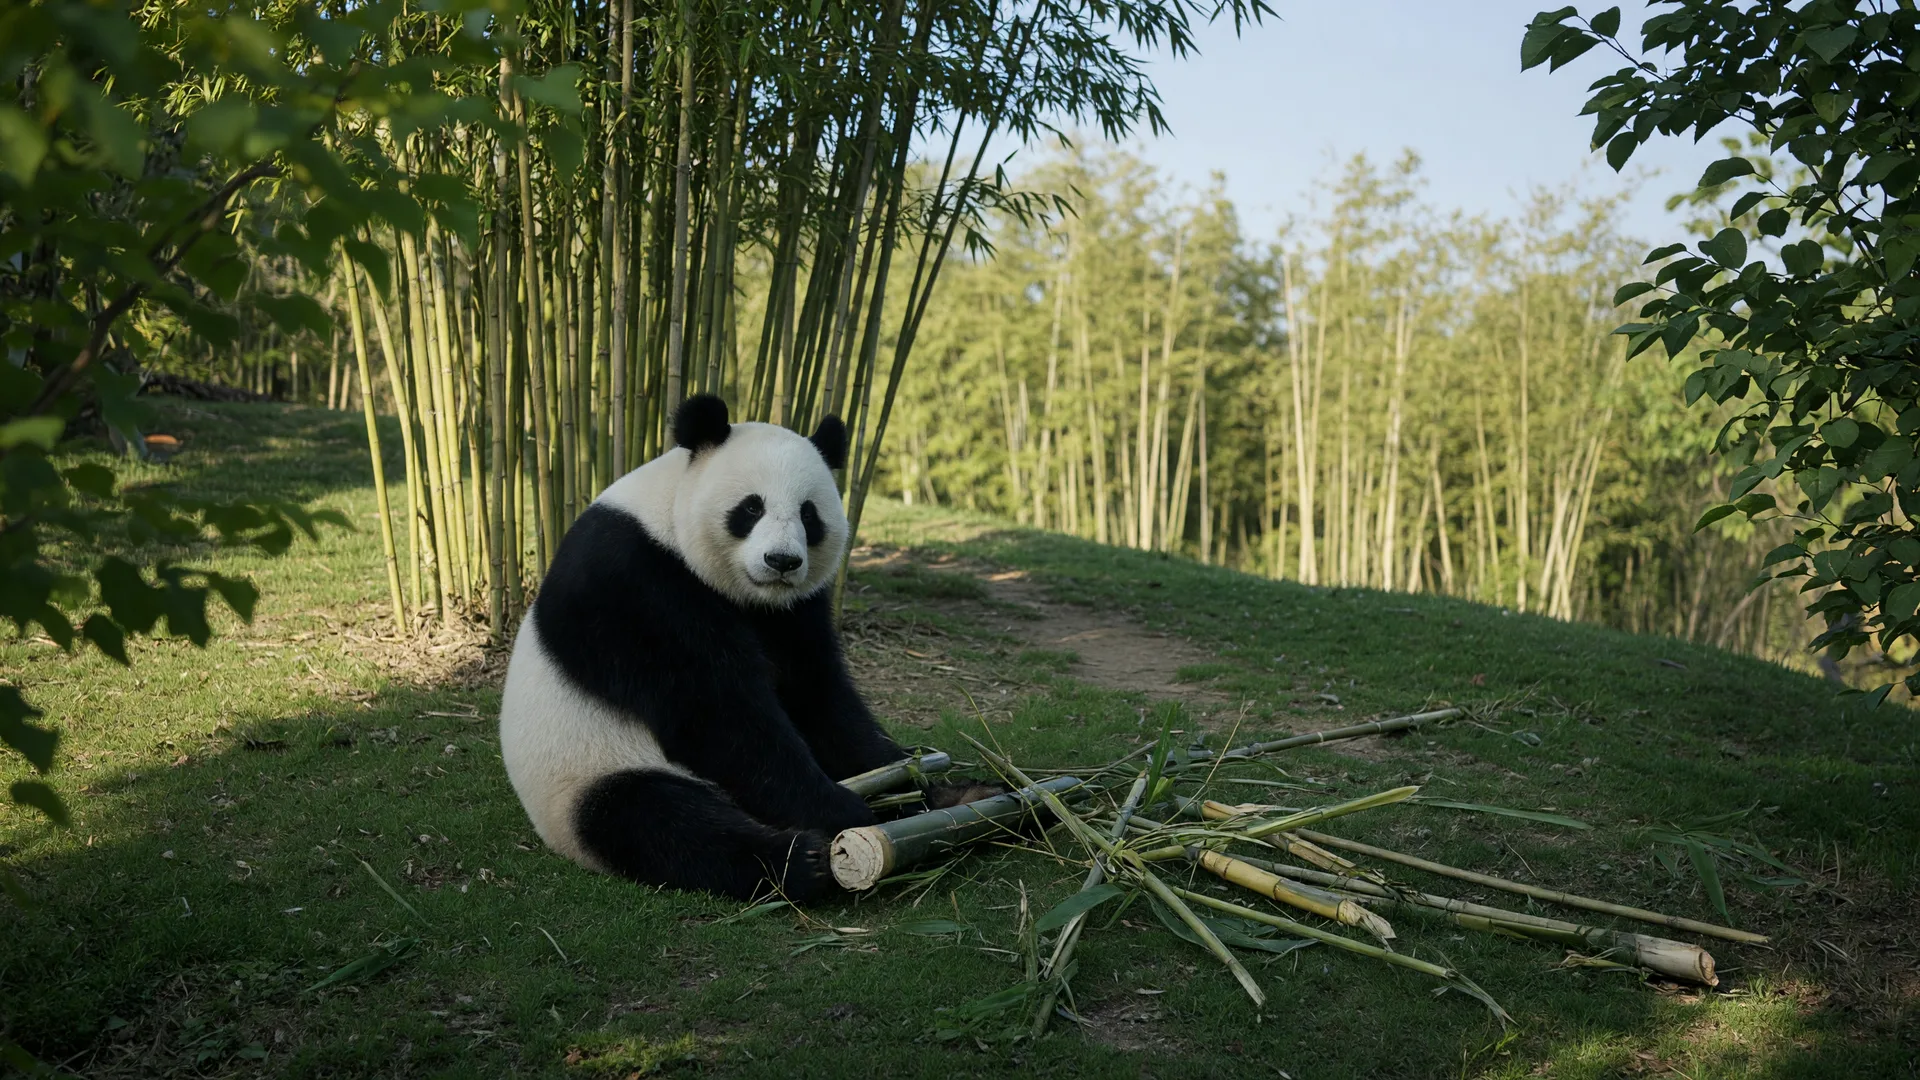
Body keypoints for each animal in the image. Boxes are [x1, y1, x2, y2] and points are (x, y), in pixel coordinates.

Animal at [499, 394, 992, 902]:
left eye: (809, 514)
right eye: (751, 508)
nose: (782, 561)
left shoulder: (794, 612)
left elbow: (820, 698)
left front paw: (912, 783)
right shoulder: (634, 586)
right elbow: (717, 713)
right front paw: (846, 809)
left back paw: (961, 798)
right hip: (586, 772)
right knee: (656, 822)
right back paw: (802, 861)